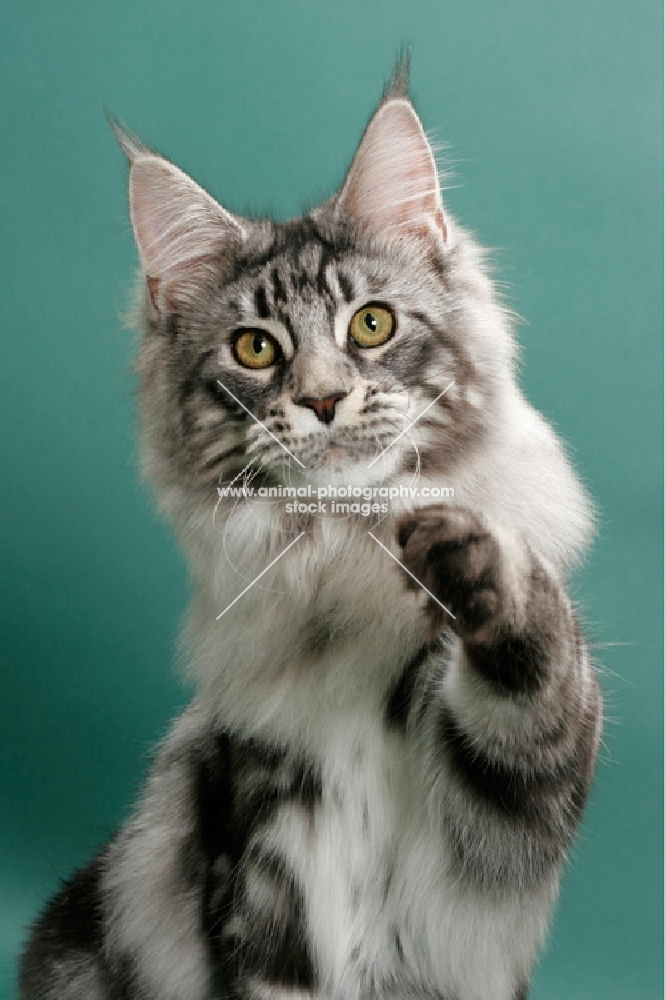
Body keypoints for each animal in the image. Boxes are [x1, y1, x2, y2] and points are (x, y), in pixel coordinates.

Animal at [20, 62, 600, 1000]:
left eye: (372, 324)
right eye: (256, 349)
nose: (324, 400)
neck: (342, 553)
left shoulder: (505, 812)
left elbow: (531, 665)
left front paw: (462, 557)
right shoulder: (267, 872)